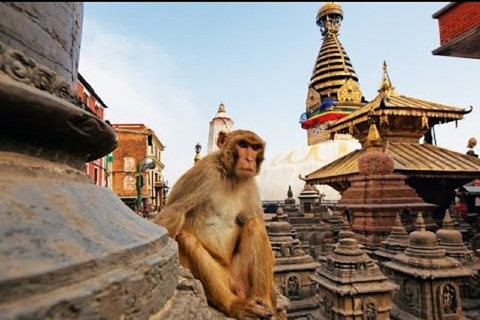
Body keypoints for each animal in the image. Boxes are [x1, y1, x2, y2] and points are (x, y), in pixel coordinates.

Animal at [153, 129, 284, 320]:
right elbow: (173, 213)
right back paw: (235, 305)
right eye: (242, 145)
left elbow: (252, 219)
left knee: (254, 223)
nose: (249, 159)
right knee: (185, 239)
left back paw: (263, 302)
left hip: (241, 278)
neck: (231, 176)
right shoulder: (205, 172)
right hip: (222, 278)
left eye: (255, 148)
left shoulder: (250, 185)